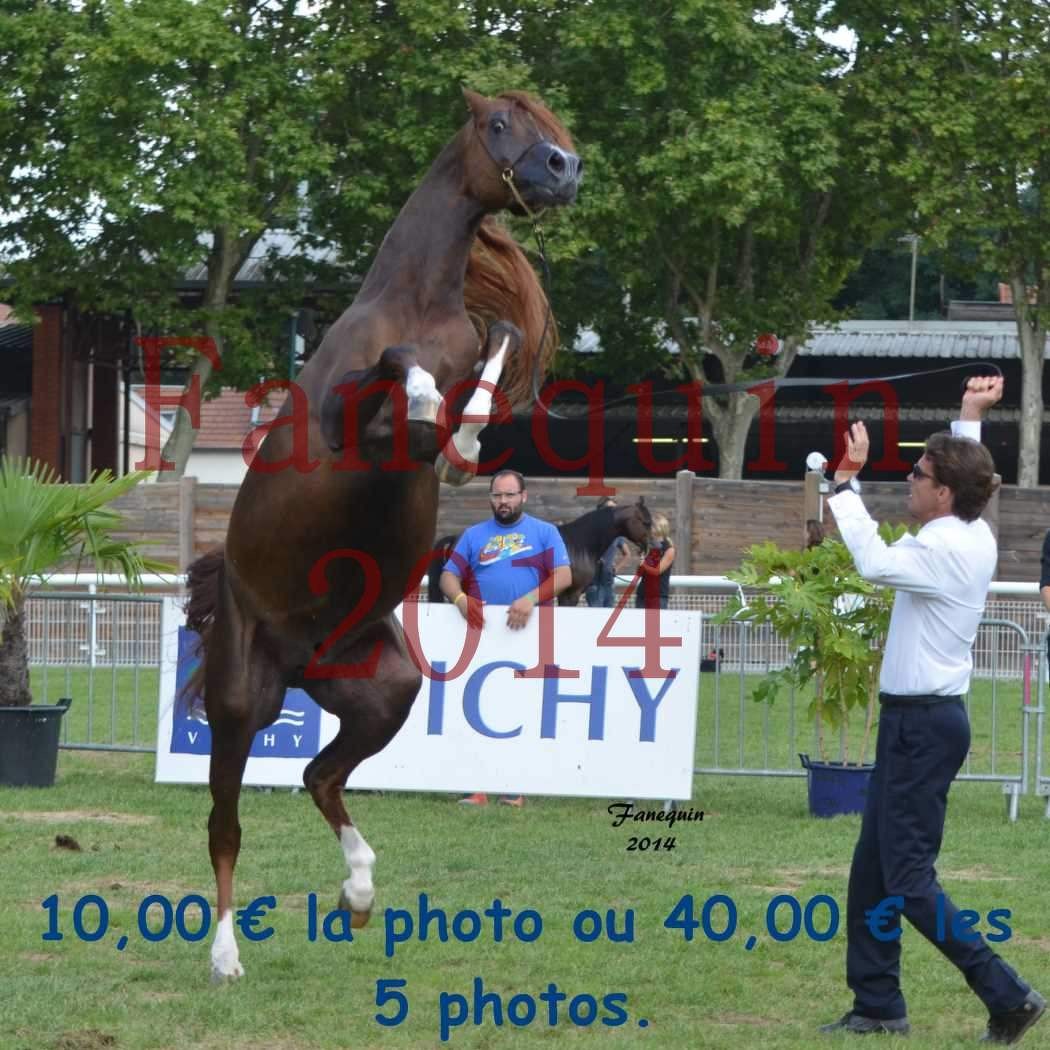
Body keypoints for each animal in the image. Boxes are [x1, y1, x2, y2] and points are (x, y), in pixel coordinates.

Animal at [188, 86, 583, 978]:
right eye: (499, 124)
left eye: (546, 126)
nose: (564, 167)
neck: (418, 301)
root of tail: (300, 661)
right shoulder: (347, 416)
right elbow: (403, 366)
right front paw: (429, 401)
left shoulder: (473, 354)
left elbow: (497, 350)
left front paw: (464, 431)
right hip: (239, 705)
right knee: (226, 830)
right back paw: (226, 956)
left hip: (385, 694)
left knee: (319, 776)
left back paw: (359, 892)